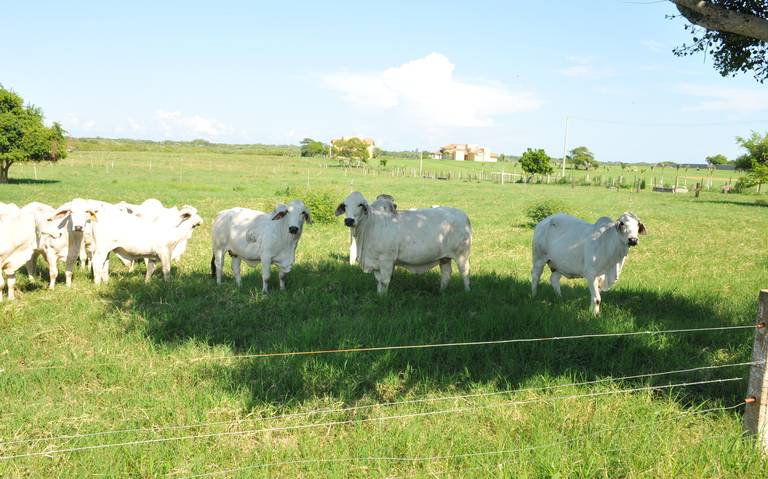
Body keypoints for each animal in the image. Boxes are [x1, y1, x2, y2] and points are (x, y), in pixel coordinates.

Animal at [338, 191, 474, 292]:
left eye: (360, 204)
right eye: (345, 205)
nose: (349, 220)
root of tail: (464, 215)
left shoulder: (386, 260)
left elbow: (384, 281)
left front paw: (383, 299)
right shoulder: (376, 262)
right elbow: (378, 282)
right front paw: (379, 295)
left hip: (462, 255)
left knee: (465, 273)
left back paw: (467, 292)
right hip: (444, 258)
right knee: (446, 274)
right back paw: (441, 292)